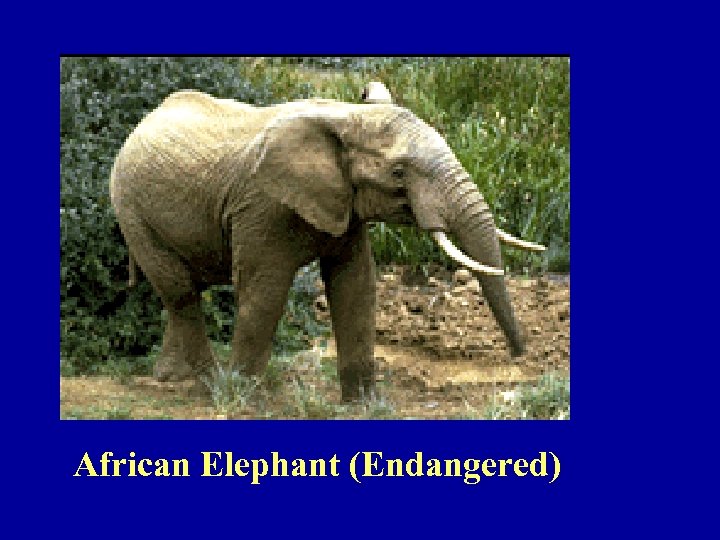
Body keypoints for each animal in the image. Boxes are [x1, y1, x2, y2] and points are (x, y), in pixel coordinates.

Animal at [110, 86, 545, 401]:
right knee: (180, 292)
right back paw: (208, 385)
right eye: (398, 172)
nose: (519, 358)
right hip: (131, 210)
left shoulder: (344, 206)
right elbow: (265, 293)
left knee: (186, 291)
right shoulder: (263, 206)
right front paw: (241, 398)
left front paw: (364, 404)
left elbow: (356, 286)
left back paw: (171, 379)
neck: (347, 115)